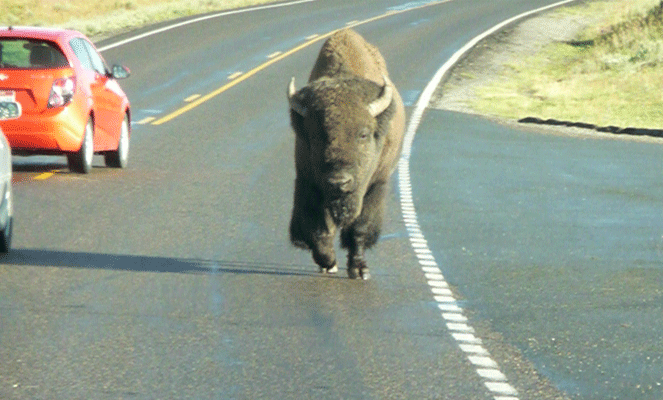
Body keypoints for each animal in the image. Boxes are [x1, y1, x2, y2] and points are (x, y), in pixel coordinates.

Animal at [286, 28, 404, 280]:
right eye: (314, 136)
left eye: (363, 134)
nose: (339, 182)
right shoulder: (308, 182)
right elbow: (316, 227)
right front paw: (328, 261)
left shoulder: (374, 185)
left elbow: (359, 228)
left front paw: (359, 270)